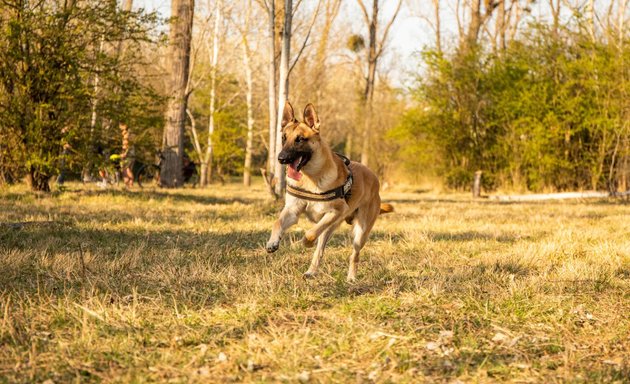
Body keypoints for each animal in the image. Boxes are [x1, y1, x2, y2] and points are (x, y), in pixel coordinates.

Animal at [266, 102, 396, 282]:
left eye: (300, 139)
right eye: (284, 138)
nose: (281, 158)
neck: (310, 178)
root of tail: (374, 178)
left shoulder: (336, 211)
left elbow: (310, 234)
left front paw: (303, 243)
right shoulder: (292, 211)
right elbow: (277, 223)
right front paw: (273, 242)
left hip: (359, 232)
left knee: (354, 255)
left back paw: (351, 277)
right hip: (331, 228)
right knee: (320, 251)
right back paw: (311, 271)